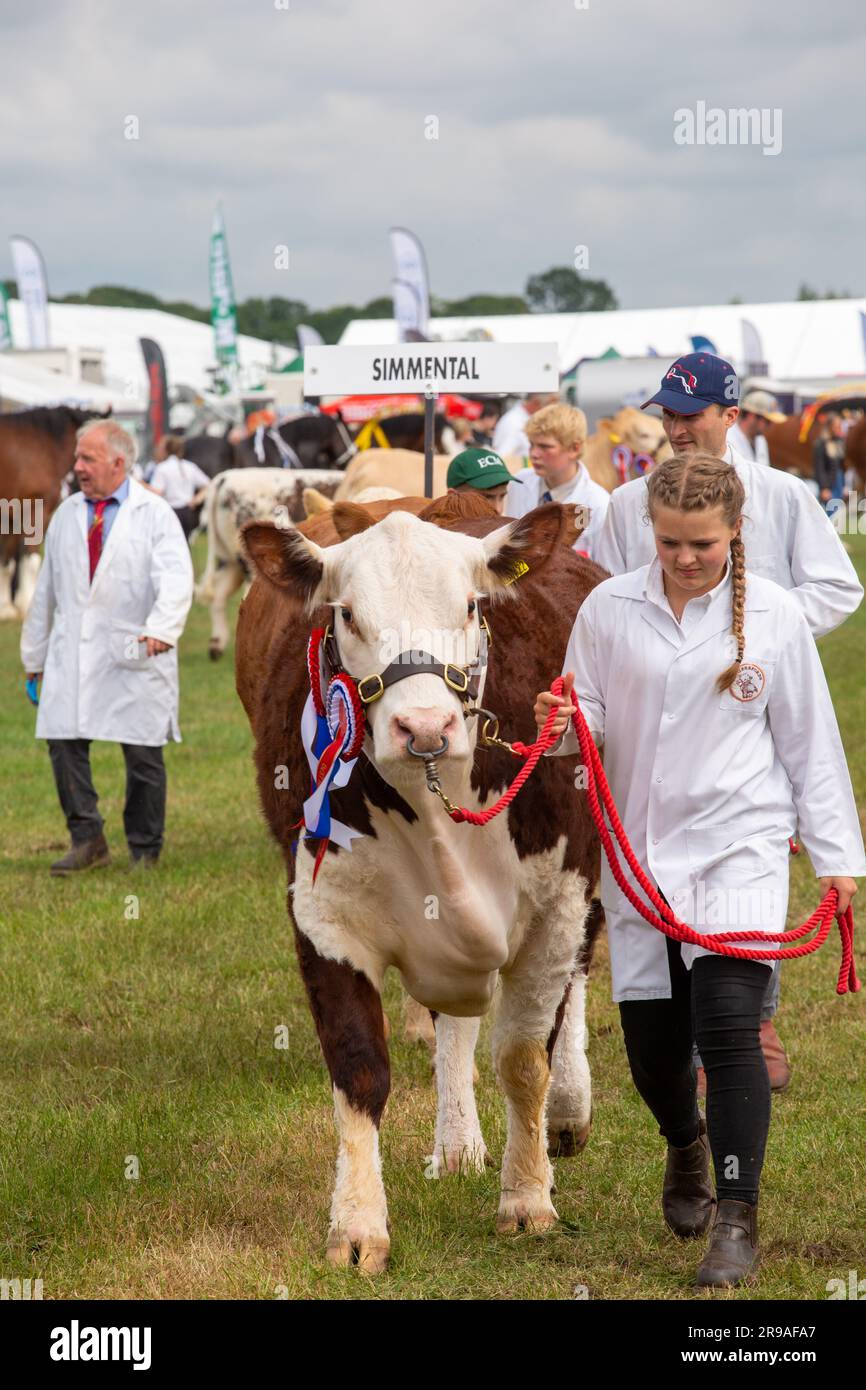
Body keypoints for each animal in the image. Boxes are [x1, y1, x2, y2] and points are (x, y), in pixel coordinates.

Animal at [236, 492, 603, 1271]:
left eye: (469, 605)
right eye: (347, 614)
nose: (425, 726)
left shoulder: (559, 901)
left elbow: (524, 1058)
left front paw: (527, 1198)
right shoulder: (324, 915)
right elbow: (359, 1070)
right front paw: (356, 1226)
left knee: (576, 984)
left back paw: (566, 1111)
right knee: (454, 1023)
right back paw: (457, 1142)